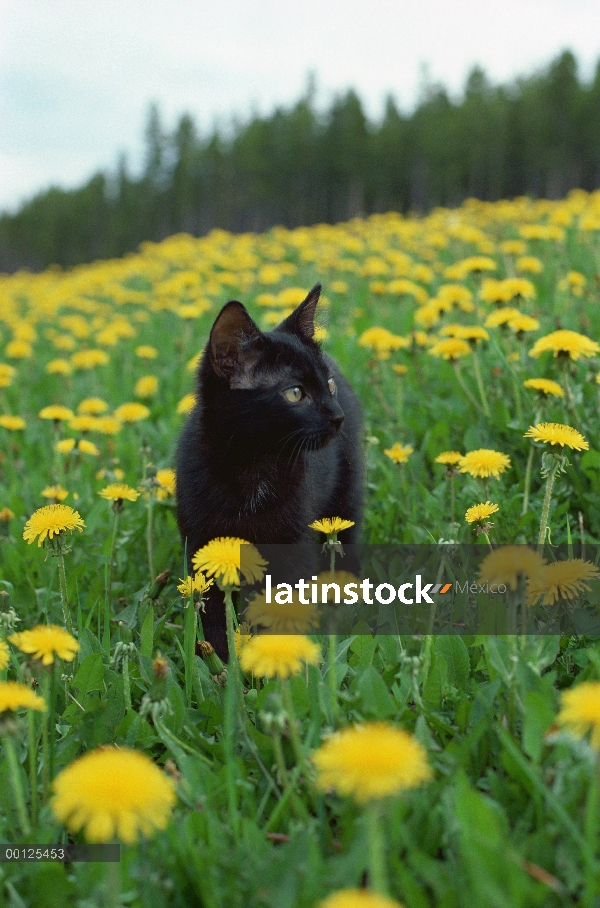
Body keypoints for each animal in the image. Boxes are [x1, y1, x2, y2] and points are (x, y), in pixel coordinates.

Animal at [173, 284, 360, 660]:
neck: (254, 464)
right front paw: (222, 663)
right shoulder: (202, 541)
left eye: (329, 384)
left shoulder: (293, 539)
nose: (338, 417)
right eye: (295, 393)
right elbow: (214, 615)